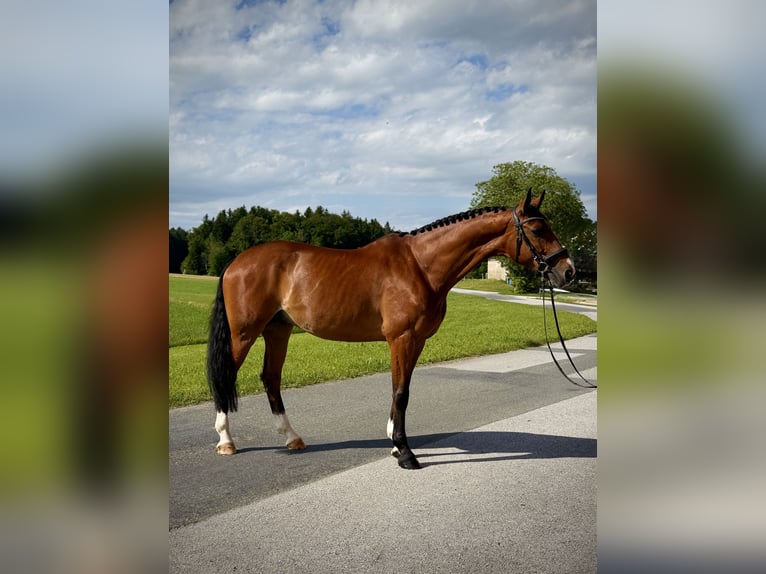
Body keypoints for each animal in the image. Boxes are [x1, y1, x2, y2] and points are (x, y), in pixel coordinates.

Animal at [207, 189, 575, 469]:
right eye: (538, 230)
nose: (568, 271)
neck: (421, 266)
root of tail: (237, 261)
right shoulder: (402, 338)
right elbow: (400, 392)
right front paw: (405, 452)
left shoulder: (416, 341)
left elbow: (402, 389)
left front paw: (395, 442)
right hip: (244, 333)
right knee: (226, 376)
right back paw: (226, 440)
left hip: (277, 330)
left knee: (270, 378)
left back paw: (292, 438)